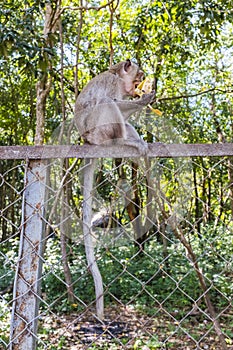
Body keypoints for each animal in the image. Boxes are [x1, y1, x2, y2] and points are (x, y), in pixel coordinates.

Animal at [73, 60, 153, 320]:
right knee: (108, 105)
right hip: (98, 132)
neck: (118, 78)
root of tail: (88, 141)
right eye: (138, 74)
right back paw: (125, 142)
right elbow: (113, 101)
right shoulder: (112, 85)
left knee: (123, 121)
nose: (141, 80)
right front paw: (143, 100)